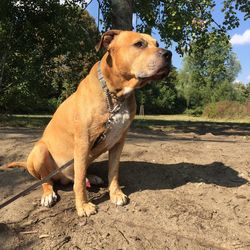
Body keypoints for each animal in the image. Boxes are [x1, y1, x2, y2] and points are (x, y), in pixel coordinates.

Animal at [5, 29, 172, 217]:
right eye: (139, 44)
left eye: (157, 44)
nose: (168, 54)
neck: (115, 95)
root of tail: (61, 177)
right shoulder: (84, 142)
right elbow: (78, 183)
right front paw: (83, 205)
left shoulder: (118, 141)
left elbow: (114, 172)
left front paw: (115, 193)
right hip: (40, 151)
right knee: (47, 180)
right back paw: (48, 193)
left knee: (78, 174)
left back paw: (90, 177)